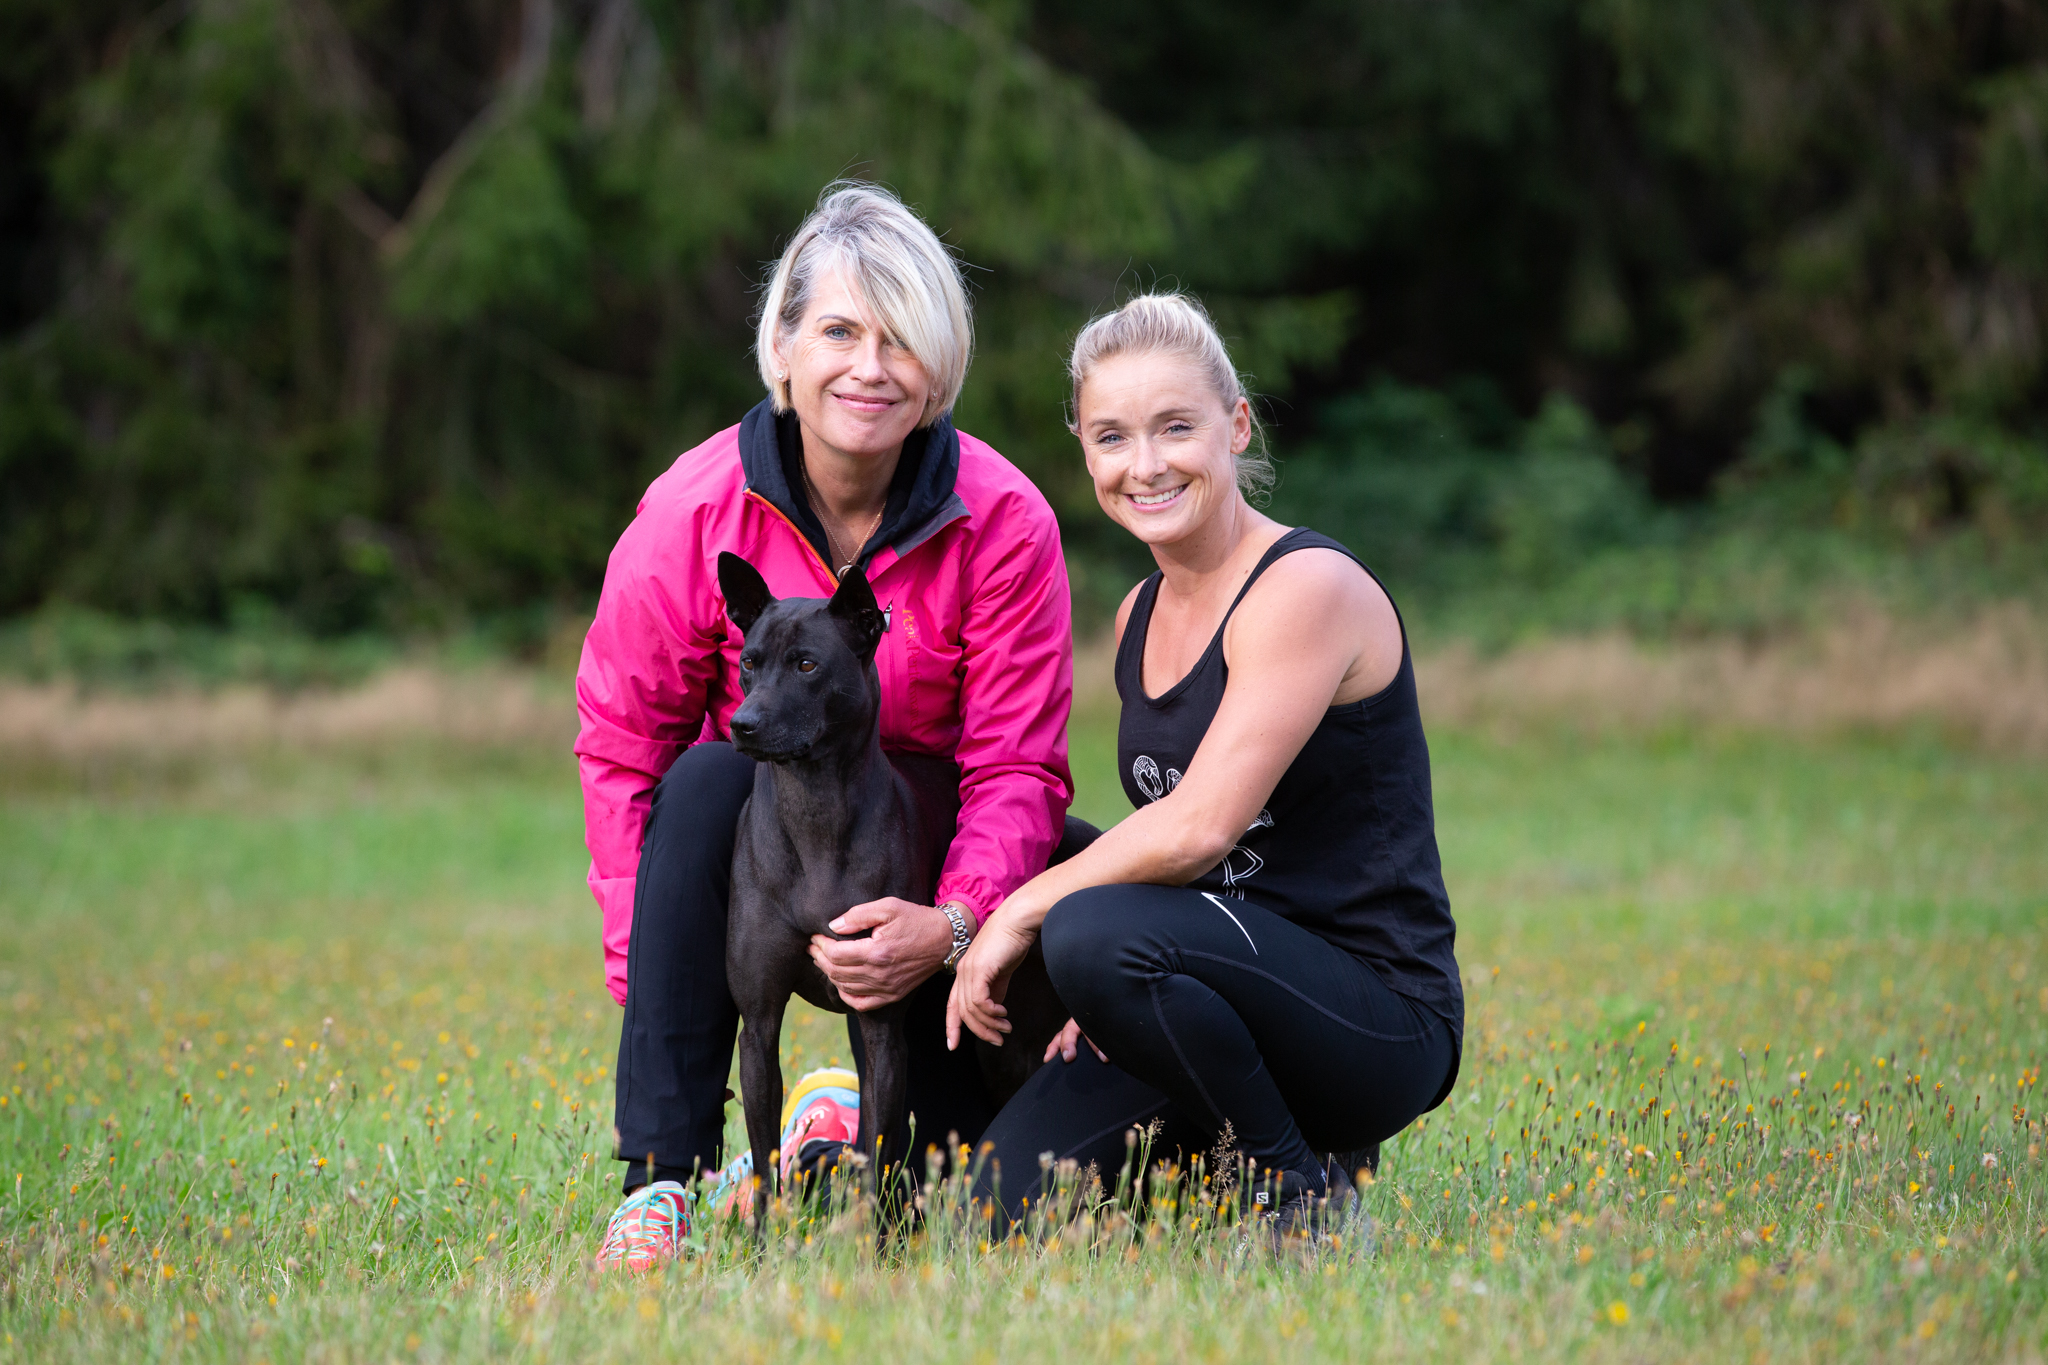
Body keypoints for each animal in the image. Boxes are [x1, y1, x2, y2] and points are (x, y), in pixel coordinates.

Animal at [717, 551, 1057, 1214]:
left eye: (807, 664)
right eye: (748, 662)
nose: (742, 725)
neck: (816, 814)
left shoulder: (881, 1031)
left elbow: (878, 1154)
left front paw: (870, 1238)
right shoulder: (760, 1029)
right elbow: (767, 1169)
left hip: (1015, 1047)